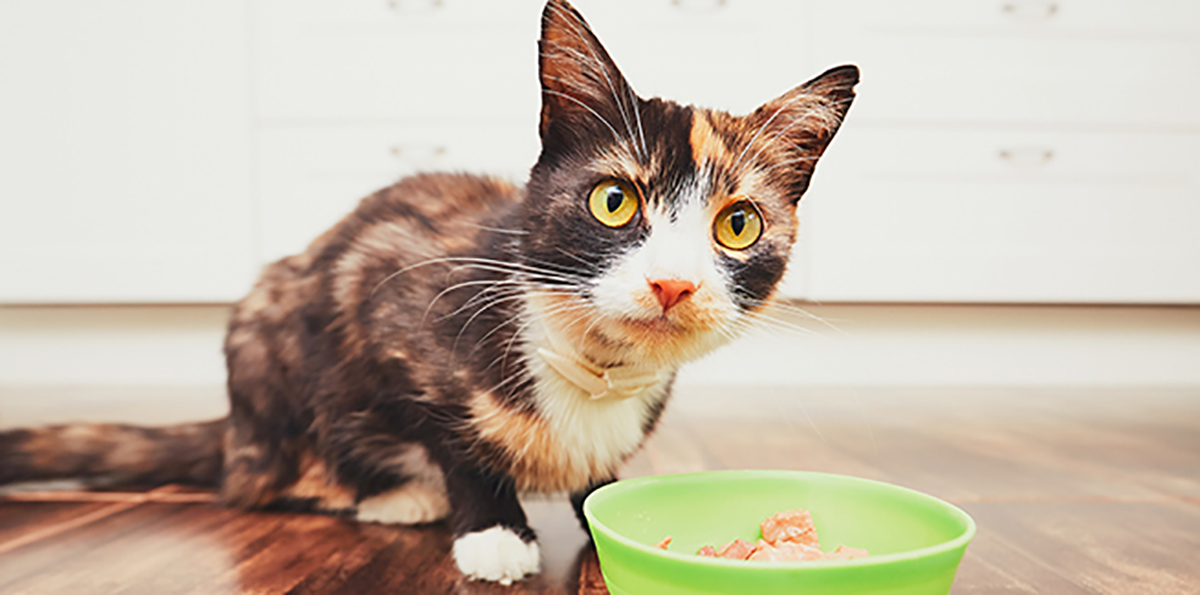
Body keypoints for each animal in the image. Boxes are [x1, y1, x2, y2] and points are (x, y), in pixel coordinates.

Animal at [2, 0, 864, 585]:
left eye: (739, 224)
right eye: (614, 201)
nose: (673, 281)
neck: (594, 360)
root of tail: (234, 429)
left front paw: (601, 502)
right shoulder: (394, 309)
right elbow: (453, 436)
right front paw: (493, 528)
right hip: (266, 332)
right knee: (260, 482)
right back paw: (390, 494)